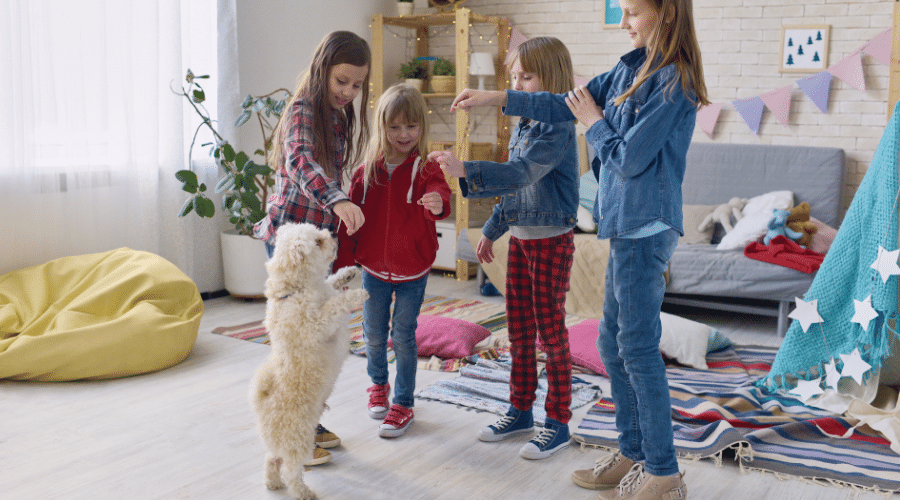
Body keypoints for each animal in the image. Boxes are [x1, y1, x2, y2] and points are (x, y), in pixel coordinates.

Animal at [248, 224, 368, 500]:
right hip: (298, 438)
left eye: (319, 233)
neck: (294, 290)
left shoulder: (323, 290)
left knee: (272, 460)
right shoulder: (317, 325)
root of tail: (262, 404)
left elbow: (331, 283)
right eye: (318, 242)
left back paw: (272, 483)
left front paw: (346, 274)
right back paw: (303, 492)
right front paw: (357, 294)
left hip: (283, 442)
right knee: (291, 470)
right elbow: (335, 304)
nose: (334, 235)